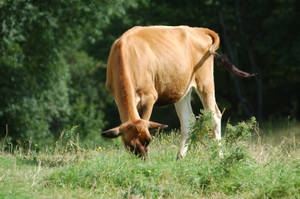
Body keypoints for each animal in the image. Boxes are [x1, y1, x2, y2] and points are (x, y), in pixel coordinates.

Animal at [101, 25, 253, 159]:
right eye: (130, 145)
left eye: (148, 141)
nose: (144, 161)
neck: (127, 54)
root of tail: (198, 30)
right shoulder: (116, 96)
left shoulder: (149, 96)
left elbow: (144, 118)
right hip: (183, 91)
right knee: (188, 120)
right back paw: (180, 157)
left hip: (205, 81)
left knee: (214, 115)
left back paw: (219, 156)